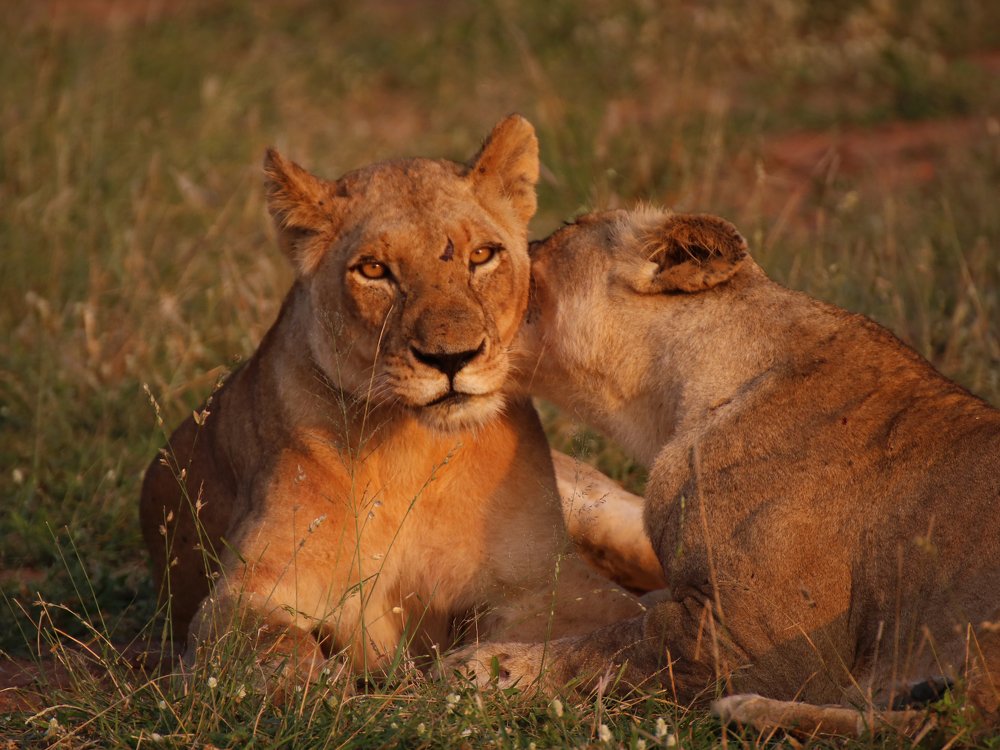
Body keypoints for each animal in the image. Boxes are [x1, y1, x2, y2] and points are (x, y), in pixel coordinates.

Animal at [138, 117, 648, 687]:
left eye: (481, 255)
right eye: (374, 270)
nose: (451, 358)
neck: (415, 452)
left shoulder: (550, 584)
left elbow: (595, 629)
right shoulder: (245, 596)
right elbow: (279, 655)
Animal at [453, 208, 1000, 734]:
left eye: (561, 232)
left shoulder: (756, 643)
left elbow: (614, 645)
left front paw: (486, 667)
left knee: (943, 725)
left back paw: (750, 710)